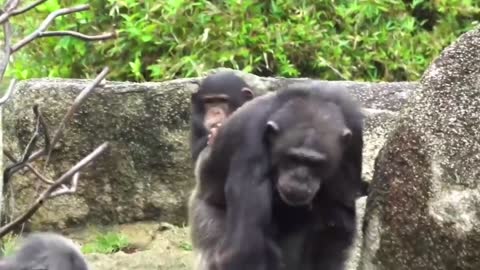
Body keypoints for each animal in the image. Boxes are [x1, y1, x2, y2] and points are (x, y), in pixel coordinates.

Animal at [188, 80, 364, 270]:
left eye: (315, 163)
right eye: (292, 158)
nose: (300, 178)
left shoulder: (354, 135)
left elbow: (337, 219)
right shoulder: (250, 142)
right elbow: (245, 248)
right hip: (203, 215)